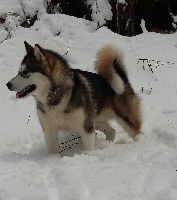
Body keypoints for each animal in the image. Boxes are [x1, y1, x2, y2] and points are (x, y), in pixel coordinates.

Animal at [6, 40, 142, 153]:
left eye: (25, 73)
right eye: (19, 72)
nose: (7, 84)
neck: (56, 97)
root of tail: (123, 78)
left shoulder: (86, 129)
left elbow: (89, 149)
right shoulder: (50, 131)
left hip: (125, 119)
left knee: (136, 132)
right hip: (96, 120)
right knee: (112, 131)